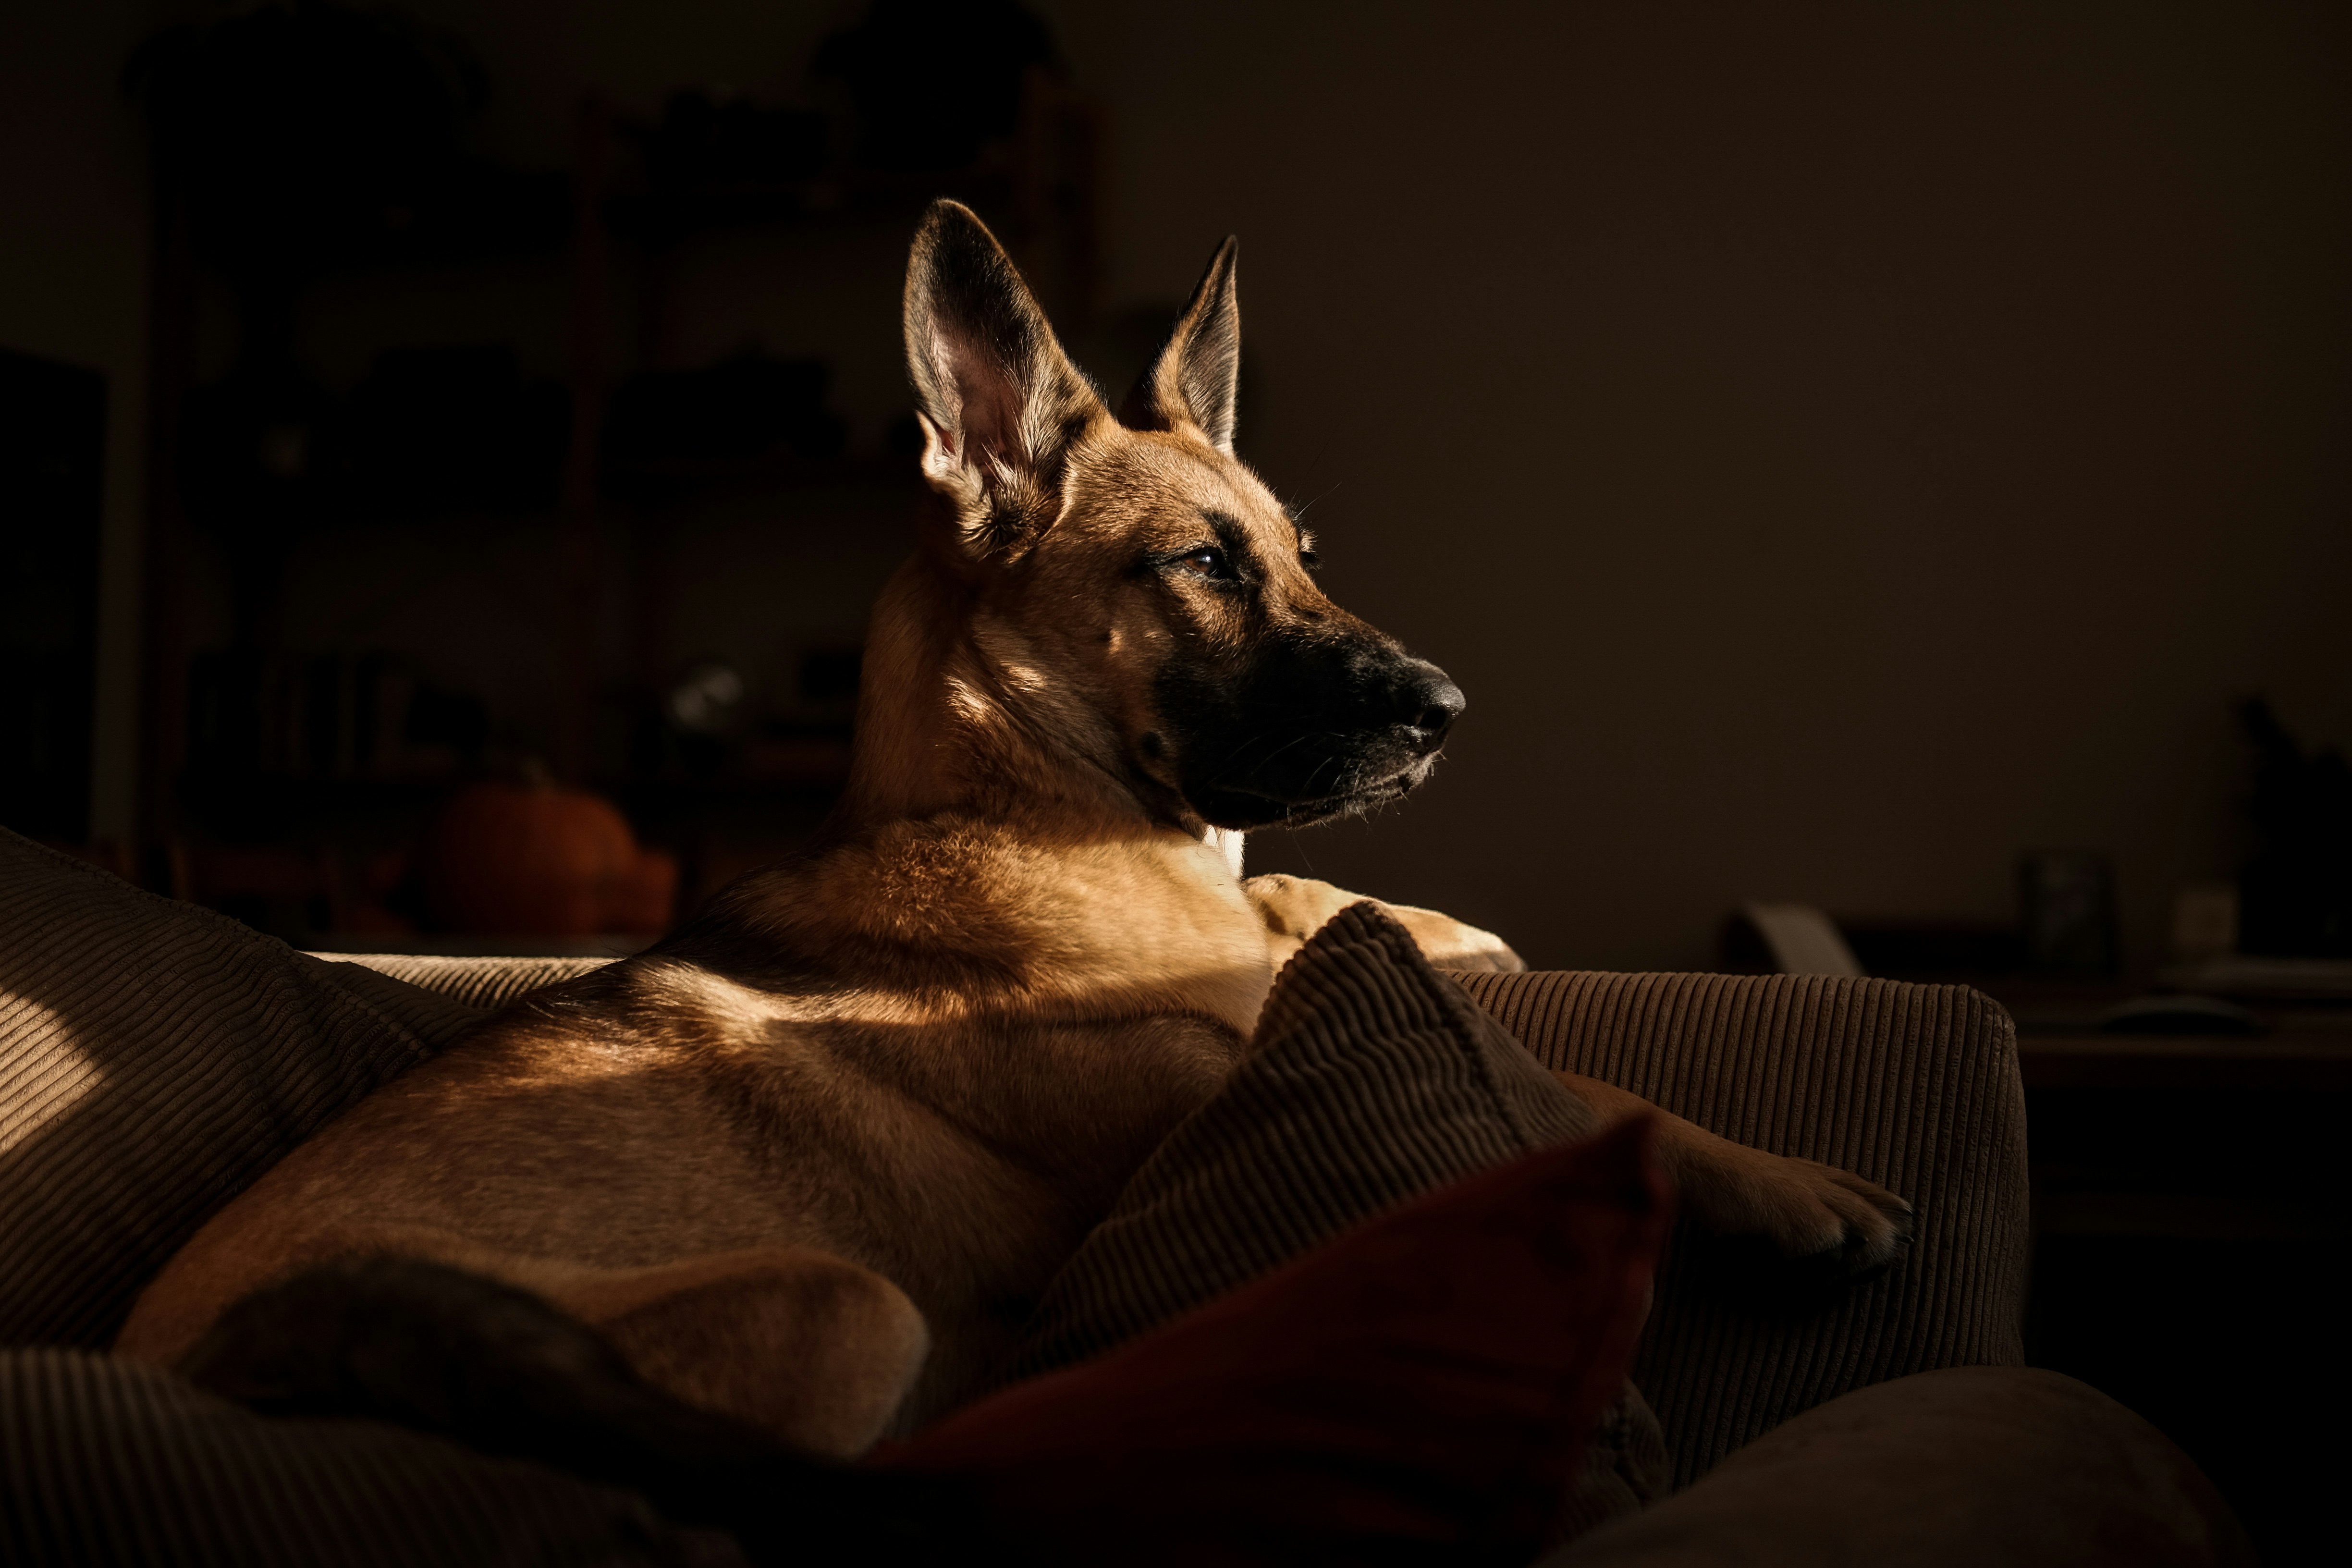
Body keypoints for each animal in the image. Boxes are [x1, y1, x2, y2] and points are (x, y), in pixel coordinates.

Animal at [119, 202, 1910, 1467]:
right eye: (1202, 565)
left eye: (1296, 550)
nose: (1448, 709)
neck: (1050, 813)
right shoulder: (1208, 1077)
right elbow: (1573, 1090)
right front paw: (1782, 1182)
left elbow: (1327, 906)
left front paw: (1437, 927)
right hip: (835, 1307)